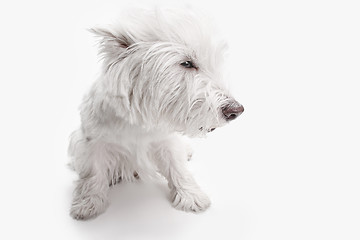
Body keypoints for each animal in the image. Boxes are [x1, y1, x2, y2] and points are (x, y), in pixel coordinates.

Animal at [69, 7, 243, 220]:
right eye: (186, 63)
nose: (236, 110)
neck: (138, 123)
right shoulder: (94, 142)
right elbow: (93, 173)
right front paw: (88, 203)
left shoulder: (165, 141)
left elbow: (177, 168)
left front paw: (191, 196)